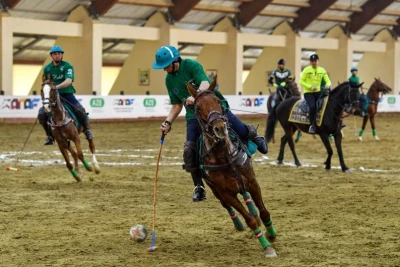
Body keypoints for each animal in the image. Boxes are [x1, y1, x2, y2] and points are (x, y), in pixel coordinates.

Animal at [186, 76, 276, 258]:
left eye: (217, 101)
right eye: (198, 107)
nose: (220, 127)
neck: (224, 156)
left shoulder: (252, 181)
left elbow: (264, 212)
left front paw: (271, 235)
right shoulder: (226, 193)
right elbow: (250, 219)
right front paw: (267, 247)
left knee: (248, 198)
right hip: (214, 190)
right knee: (228, 206)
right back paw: (239, 225)